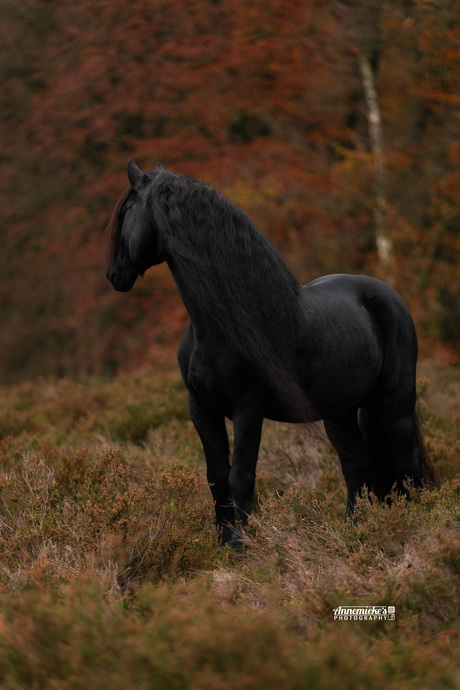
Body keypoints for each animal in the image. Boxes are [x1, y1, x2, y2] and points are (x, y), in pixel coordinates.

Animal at [106, 159, 434, 544]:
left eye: (126, 211)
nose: (114, 274)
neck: (219, 326)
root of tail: (388, 296)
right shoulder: (201, 408)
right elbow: (216, 478)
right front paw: (222, 544)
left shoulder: (248, 410)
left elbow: (240, 477)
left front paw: (242, 546)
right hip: (340, 411)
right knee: (357, 463)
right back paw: (355, 528)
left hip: (394, 400)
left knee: (406, 460)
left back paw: (415, 520)